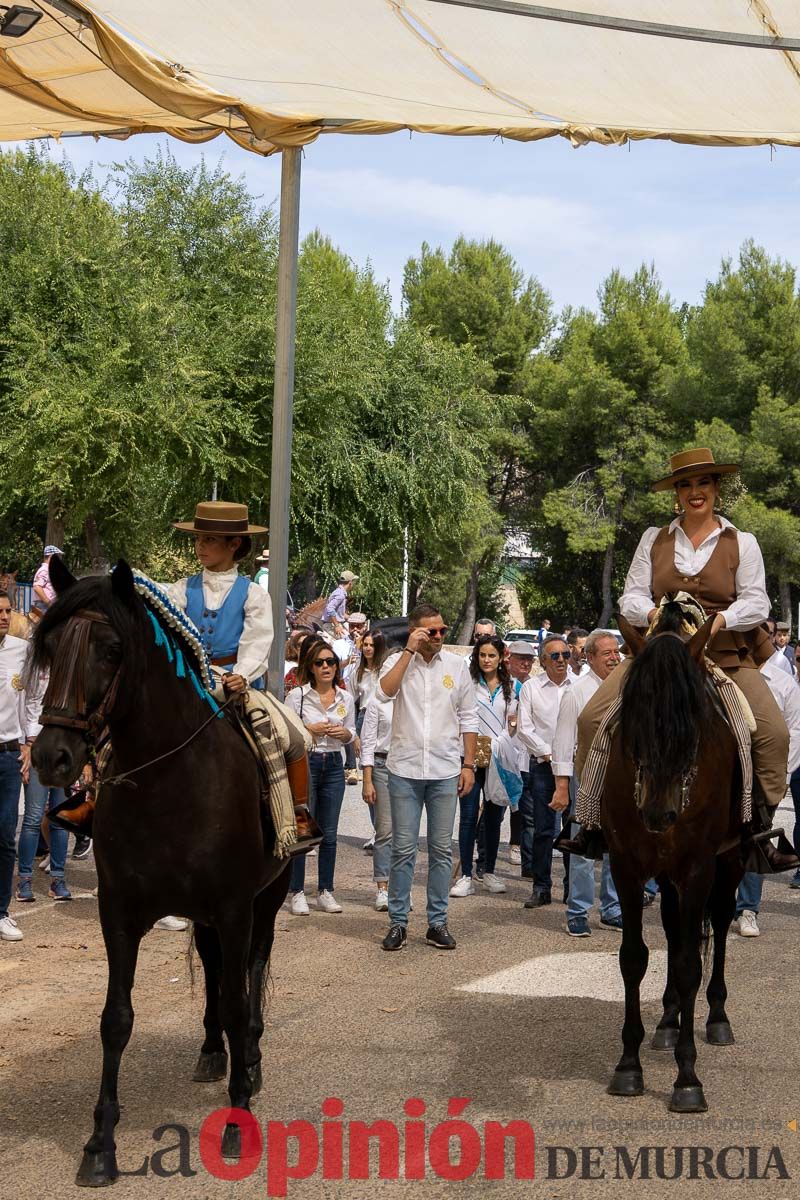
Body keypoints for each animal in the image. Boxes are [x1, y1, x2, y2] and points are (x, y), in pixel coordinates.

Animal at [31, 556, 289, 1185]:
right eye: (48, 647)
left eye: (109, 649)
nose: (51, 757)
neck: (171, 781)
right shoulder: (119, 912)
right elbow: (116, 1019)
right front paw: (100, 1144)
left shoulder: (235, 907)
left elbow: (239, 1001)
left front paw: (236, 1119)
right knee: (218, 973)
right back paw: (213, 1052)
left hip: (266, 901)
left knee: (251, 975)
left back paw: (249, 1059)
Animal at [606, 609, 743, 1113]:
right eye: (635, 717)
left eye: (692, 724)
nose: (659, 814)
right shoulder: (626, 865)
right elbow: (634, 958)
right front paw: (628, 1065)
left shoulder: (699, 868)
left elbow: (687, 966)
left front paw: (687, 1079)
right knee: (670, 926)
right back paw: (666, 1021)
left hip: (731, 860)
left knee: (717, 925)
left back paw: (717, 1016)